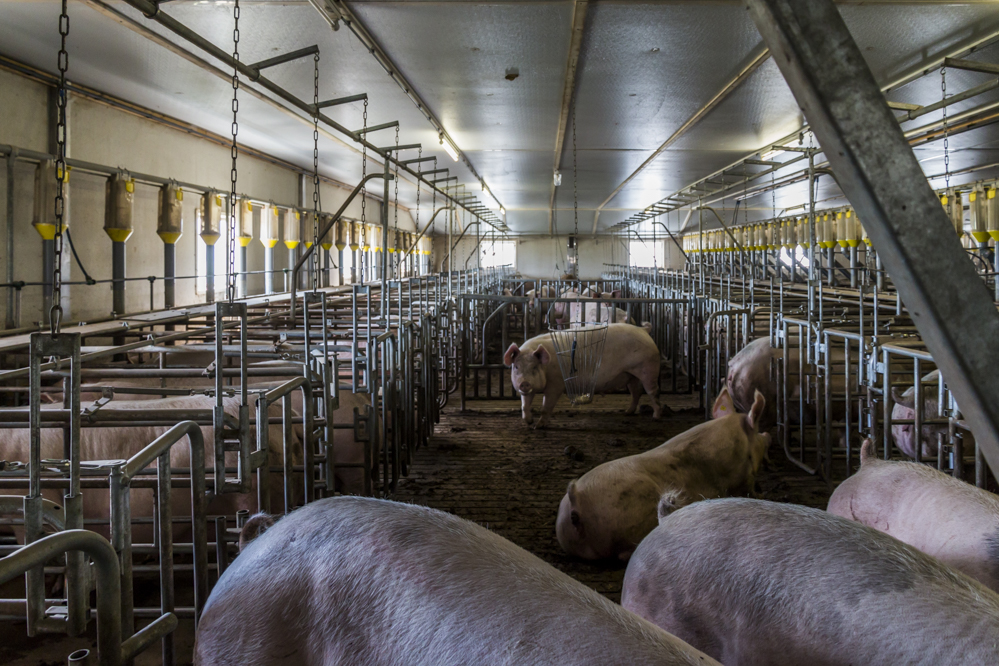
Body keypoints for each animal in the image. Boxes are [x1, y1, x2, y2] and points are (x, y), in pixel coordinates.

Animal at [504, 322, 660, 428]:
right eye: (516, 367)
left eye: (535, 367)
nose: (524, 383)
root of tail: (643, 330)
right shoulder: (528, 390)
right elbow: (525, 405)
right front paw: (529, 422)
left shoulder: (556, 384)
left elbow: (546, 407)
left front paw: (539, 426)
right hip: (631, 374)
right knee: (636, 392)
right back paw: (628, 412)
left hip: (648, 368)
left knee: (652, 392)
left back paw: (655, 417)